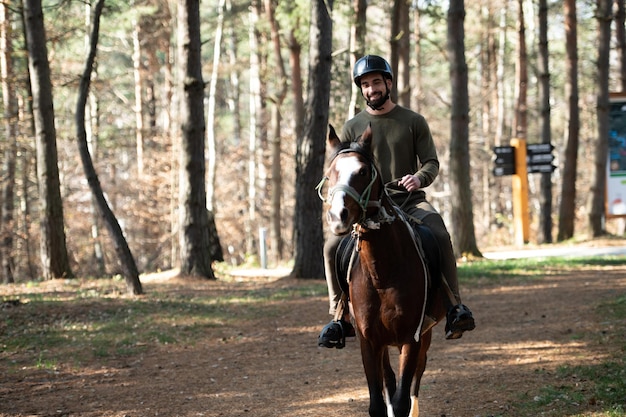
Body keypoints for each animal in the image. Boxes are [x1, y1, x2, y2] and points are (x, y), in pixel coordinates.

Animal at [320, 124, 446, 416]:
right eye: (330, 173)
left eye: (363, 172)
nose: (338, 216)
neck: (382, 273)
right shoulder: (369, 341)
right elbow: (378, 401)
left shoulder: (411, 338)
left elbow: (402, 399)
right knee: (389, 380)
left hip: (424, 335)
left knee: (415, 381)